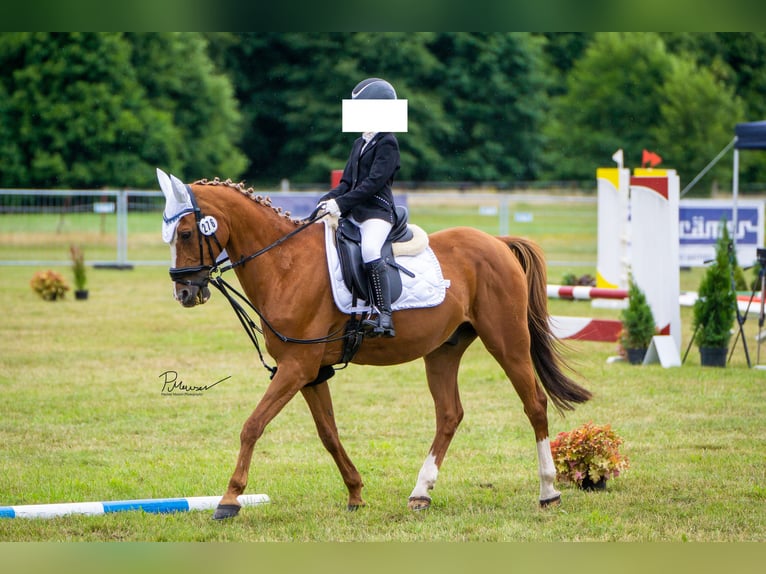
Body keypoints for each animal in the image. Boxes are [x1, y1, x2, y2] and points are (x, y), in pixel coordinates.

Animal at [158, 170, 591, 520]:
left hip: (507, 341)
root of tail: (498, 243)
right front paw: (355, 493)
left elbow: (252, 426)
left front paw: (229, 500)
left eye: (185, 233)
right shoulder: (310, 371)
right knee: (449, 414)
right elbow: (328, 434)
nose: (184, 293)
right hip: (443, 349)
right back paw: (421, 494)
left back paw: (548, 492)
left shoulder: (297, 366)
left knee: (534, 403)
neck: (286, 264)